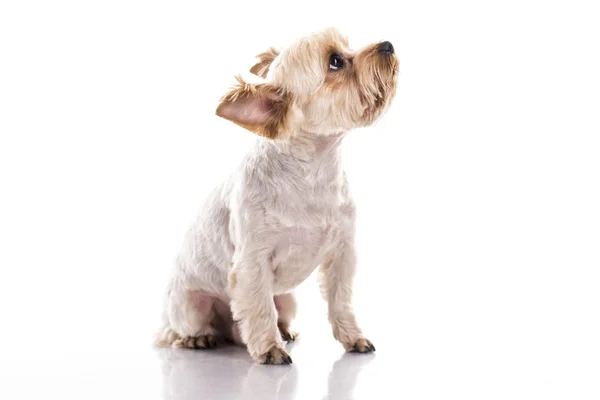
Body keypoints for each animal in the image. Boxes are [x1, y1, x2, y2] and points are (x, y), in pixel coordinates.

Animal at [155, 26, 398, 364]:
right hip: (191, 304)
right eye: (335, 61)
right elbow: (259, 308)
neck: (314, 173)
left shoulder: (342, 254)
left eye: (348, 45)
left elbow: (340, 301)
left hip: (287, 299)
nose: (387, 45)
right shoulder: (252, 263)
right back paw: (200, 338)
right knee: (183, 330)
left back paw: (283, 331)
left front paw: (353, 337)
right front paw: (269, 348)